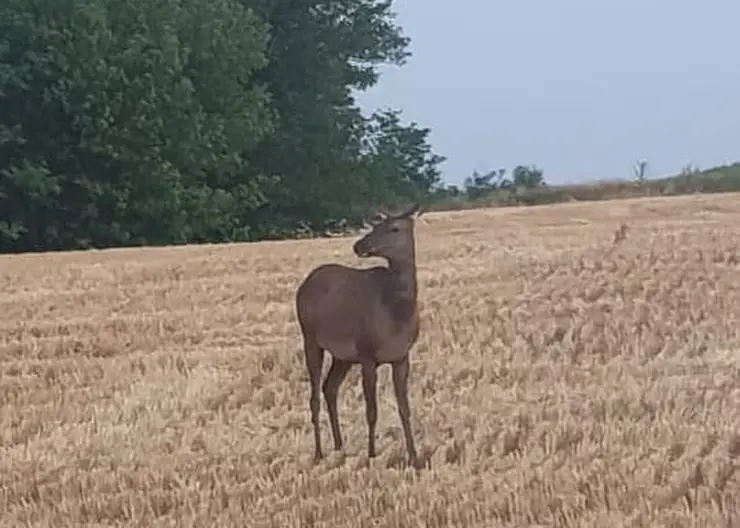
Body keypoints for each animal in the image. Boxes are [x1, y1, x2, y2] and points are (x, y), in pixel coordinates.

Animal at [294, 204, 424, 468]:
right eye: (375, 226)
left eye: (395, 228)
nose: (359, 245)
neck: (397, 315)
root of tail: (304, 285)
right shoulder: (367, 354)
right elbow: (371, 410)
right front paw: (372, 454)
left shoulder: (401, 356)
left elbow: (404, 408)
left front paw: (414, 457)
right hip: (310, 337)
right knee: (314, 395)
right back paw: (318, 453)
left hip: (342, 356)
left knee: (329, 387)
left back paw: (339, 445)